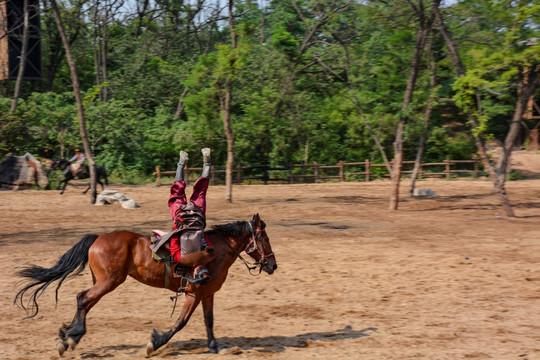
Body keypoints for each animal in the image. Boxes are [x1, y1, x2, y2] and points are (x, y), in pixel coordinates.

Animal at [14, 212, 276, 356]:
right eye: (264, 237)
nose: (272, 265)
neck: (217, 251)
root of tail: (98, 238)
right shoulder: (193, 293)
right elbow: (181, 322)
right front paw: (155, 343)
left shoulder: (207, 294)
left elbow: (208, 322)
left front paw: (215, 346)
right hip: (109, 281)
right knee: (83, 299)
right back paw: (70, 337)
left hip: (104, 282)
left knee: (85, 302)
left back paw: (69, 336)